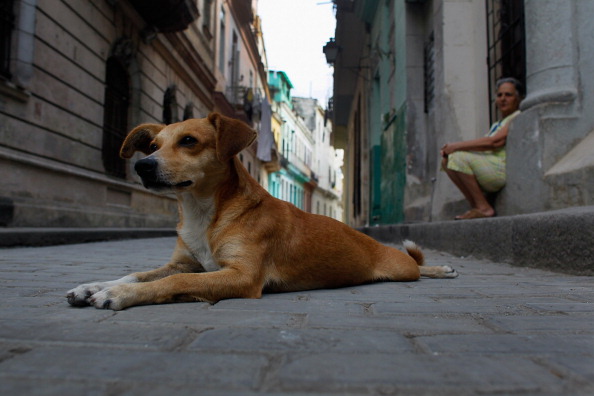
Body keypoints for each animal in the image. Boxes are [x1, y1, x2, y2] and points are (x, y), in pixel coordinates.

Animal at [68, 113, 458, 310]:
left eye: (189, 141)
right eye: (152, 146)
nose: (143, 166)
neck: (203, 212)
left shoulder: (241, 275)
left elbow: (174, 283)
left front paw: (119, 295)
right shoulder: (183, 262)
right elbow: (137, 274)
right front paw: (93, 286)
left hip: (401, 270)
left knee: (417, 266)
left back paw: (440, 268)